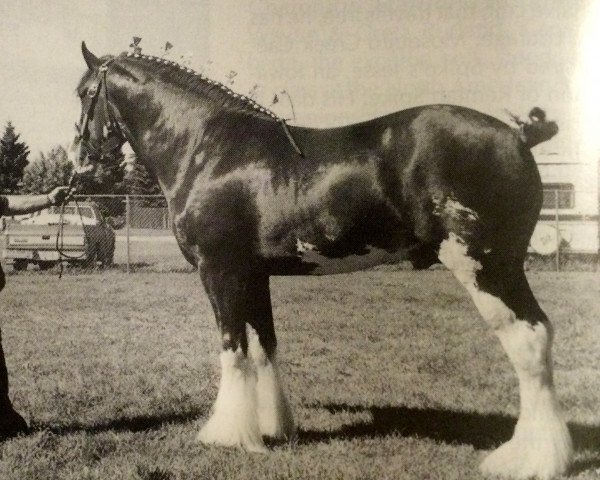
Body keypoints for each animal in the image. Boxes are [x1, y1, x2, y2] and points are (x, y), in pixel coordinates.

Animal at [74, 42, 572, 480]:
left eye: (83, 92)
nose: (81, 161)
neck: (206, 146)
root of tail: (518, 134)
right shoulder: (254, 274)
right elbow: (265, 345)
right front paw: (273, 427)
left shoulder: (219, 270)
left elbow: (233, 347)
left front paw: (227, 435)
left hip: (486, 266)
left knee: (528, 339)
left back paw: (531, 459)